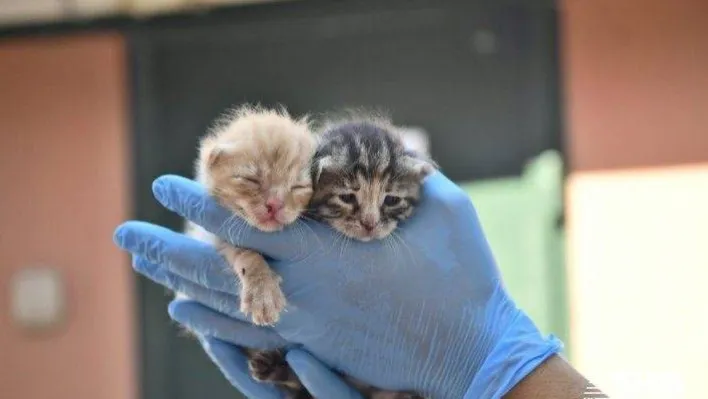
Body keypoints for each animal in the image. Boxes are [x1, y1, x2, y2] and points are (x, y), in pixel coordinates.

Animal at [184, 104, 314, 326]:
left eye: (298, 186)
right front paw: (262, 293)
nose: (275, 204)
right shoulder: (217, 237)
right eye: (251, 180)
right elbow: (247, 254)